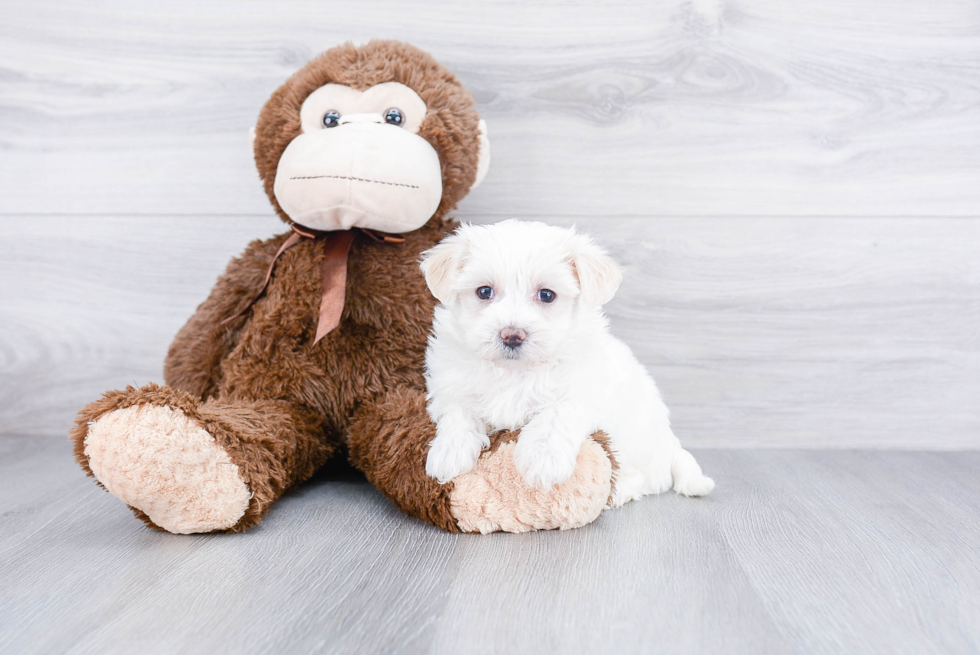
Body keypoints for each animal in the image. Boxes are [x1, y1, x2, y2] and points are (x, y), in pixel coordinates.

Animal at [422, 220, 712, 508]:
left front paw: (543, 460)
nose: (512, 335)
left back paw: (618, 492)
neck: (516, 371)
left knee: (646, 478)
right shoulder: (451, 385)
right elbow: (459, 413)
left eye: (547, 295)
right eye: (484, 292)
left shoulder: (583, 388)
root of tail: (671, 445)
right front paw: (449, 453)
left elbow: (555, 415)